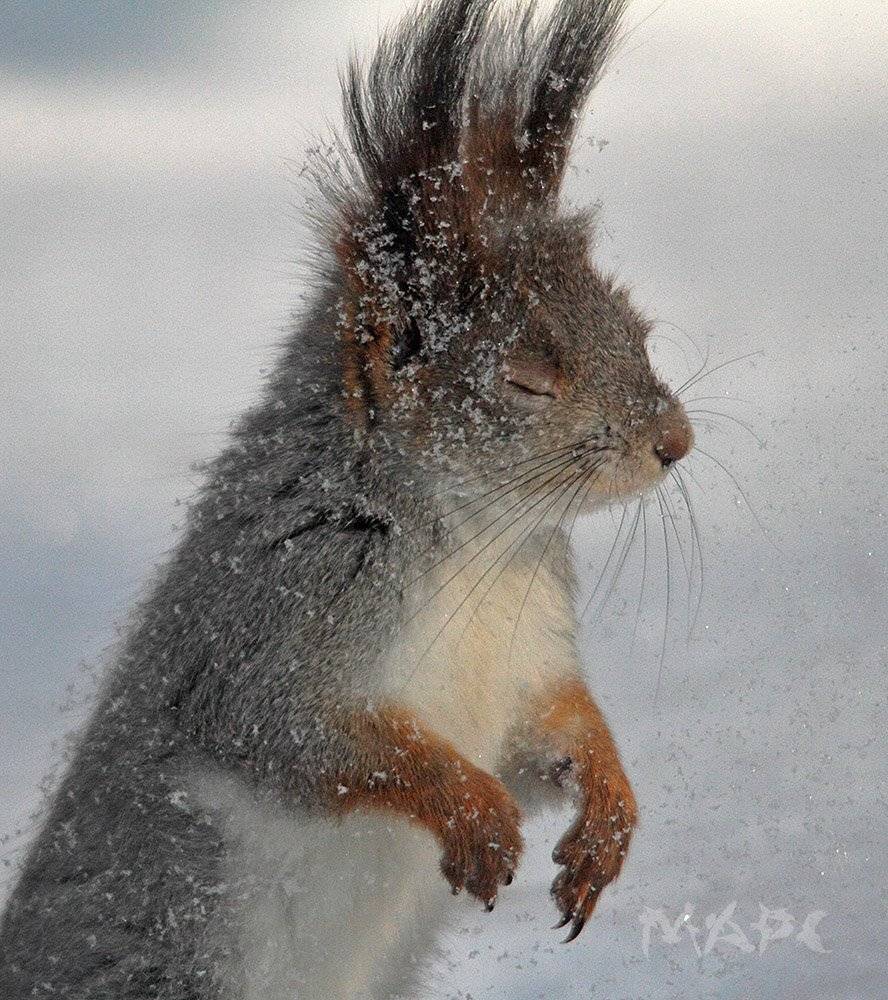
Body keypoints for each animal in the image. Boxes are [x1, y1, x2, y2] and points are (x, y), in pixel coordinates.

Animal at [1, 1, 695, 998]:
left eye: (637, 329)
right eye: (526, 380)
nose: (674, 444)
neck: (476, 541)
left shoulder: (528, 660)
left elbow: (556, 732)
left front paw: (608, 815)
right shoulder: (277, 614)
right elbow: (302, 735)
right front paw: (473, 815)